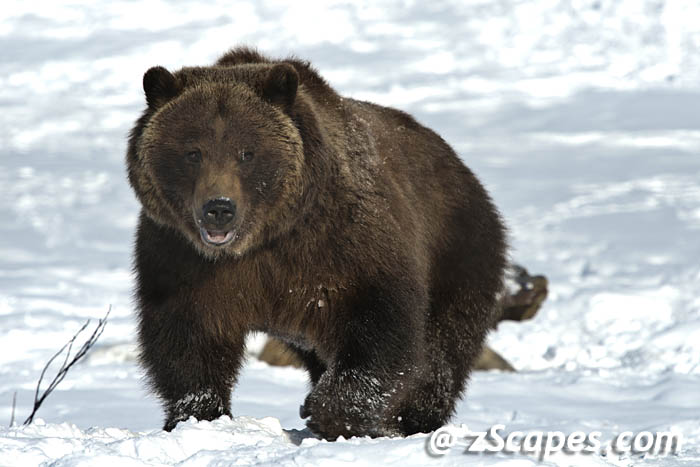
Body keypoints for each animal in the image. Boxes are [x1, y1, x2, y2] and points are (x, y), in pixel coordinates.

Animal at [126, 46, 507, 439]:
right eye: (193, 152)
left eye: (246, 152)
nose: (219, 208)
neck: (261, 240)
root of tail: (459, 165)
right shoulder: (180, 256)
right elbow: (186, 335)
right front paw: (198, 415)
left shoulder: (342, 245)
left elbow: (381, 325)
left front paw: (332, 411)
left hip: (459, 248)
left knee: (441, 347)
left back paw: (413, 418)